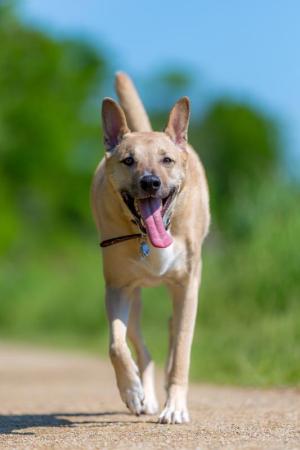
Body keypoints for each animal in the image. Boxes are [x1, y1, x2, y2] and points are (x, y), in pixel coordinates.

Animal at [90, 72, 210, 424]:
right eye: (128, 160)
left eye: (166, 160)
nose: (150, 182)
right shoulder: (117, 288)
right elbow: (115, 345)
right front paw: (132, 391)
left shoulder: (188, 286)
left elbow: (182, 352)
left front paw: (176, 408)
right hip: (135, 299)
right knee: (141, 347)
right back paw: (145, 397)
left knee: (172, 332)